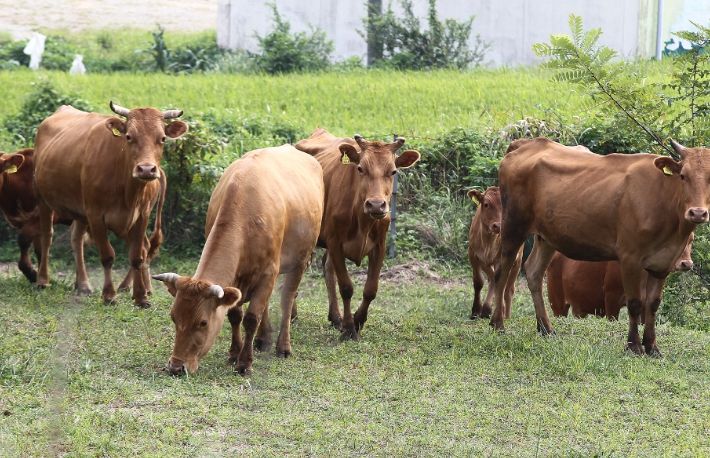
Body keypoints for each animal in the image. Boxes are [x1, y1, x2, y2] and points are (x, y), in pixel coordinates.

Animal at [33, 102, 186, 307]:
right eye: (129, 136)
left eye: (162, 138)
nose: (146, 169)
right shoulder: (96, 215)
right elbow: (107, 256)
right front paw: (109, 295)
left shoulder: (142, 216)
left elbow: (137, 255)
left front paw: (141, 297)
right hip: (43, 199)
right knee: (47, 236)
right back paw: (43, 280)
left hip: (81, 210)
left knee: (77, 239)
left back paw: (83, 285)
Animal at [153, 145, 324, 375]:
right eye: (173, 317)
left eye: (203, 323)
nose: (176, 367)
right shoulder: (236, 281)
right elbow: (235, 314)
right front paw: (235, 353)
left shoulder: (268, 272)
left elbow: (251, 318)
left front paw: (245, 363)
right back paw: (263, 338)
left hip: (301, 260)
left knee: (287, 298)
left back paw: (283, 346)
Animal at [295, 129, 420, 340]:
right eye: (360, 168)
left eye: (393, 171)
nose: (376, 205)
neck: (363, 220)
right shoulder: (335, 243)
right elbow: (346, 287)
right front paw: (348, 328)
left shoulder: (380, 246)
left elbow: (371, 289)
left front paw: (358, 320)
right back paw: (294, 314)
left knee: (327, 268)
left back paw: (335, 317)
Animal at [467, 186, 522, 320]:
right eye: (486, 204)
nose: (499, 226)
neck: (488, 242)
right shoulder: (472, 255)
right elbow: (479, 282)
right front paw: (476, 310)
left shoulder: (501, 259)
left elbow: (498, 282)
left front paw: (489, 309)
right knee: (492, 278)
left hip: (518, 260)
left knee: (508, 289)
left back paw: (506, 315)